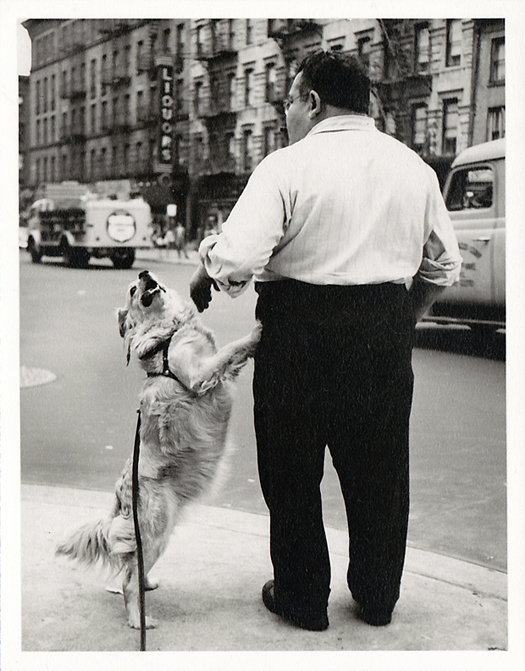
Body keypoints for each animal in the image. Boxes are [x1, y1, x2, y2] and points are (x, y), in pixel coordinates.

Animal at [56, 270, 260, 632]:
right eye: (132, 290)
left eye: (145, 278)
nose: (143, 273)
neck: (166, 332)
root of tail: (120, 496)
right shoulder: (197, 374)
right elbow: (230, 350)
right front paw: (257, 333)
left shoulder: (212, 370)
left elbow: (230, 359)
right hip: (156, 529)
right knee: (127, 579)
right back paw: (137, 618)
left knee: (131, 566)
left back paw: (146, 583)